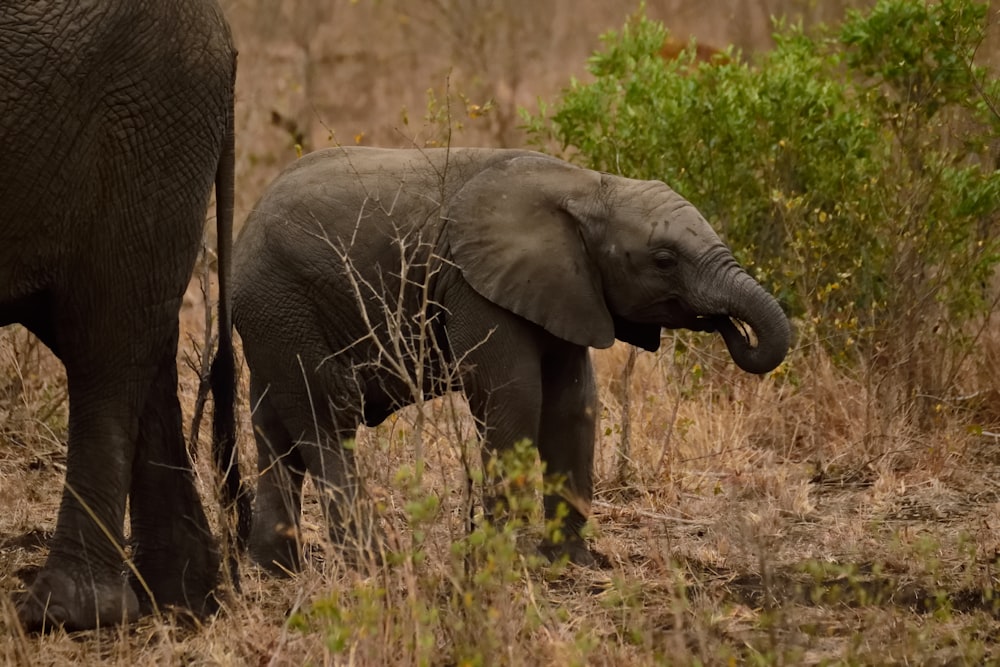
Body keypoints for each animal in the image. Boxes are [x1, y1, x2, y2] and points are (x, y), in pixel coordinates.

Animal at [0, 1, 242, 632]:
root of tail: (222, 30)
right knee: (137, 343)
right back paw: (178, 597)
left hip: (138, 128)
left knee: (104, 344)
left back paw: (65, 613)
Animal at [234, 147, 788, 576]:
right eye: (665, 260)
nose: (729, 326)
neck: (587, 188)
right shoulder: (475, 288)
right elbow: (515, 398)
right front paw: (509, 561)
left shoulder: (566, 288)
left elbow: (573, 405)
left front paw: (570, 564)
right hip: (282, 303)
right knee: (327, 415)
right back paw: (374, 565)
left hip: (271, 316)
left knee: (273, 427)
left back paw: (277, 569)